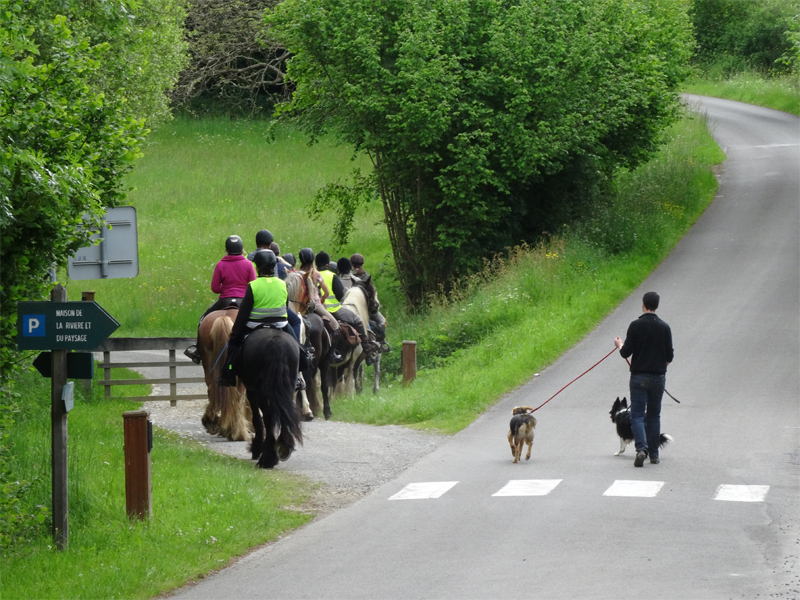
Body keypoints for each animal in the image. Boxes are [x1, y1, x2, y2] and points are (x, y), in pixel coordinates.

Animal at [197, 309, 253, 442]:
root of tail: (224, 318)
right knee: (238, 396)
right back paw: (238, 432)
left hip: (209, 367)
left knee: (212, 390)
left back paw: (212, 423)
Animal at [234, 326, 303, 469]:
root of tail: (275, 342)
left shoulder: (251, 391)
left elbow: (256, 418)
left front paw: (257, 447)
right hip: (287, 387)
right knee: (284, 414)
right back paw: (284, 448)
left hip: (260, 391)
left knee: (268, 417)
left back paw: (267, 458)